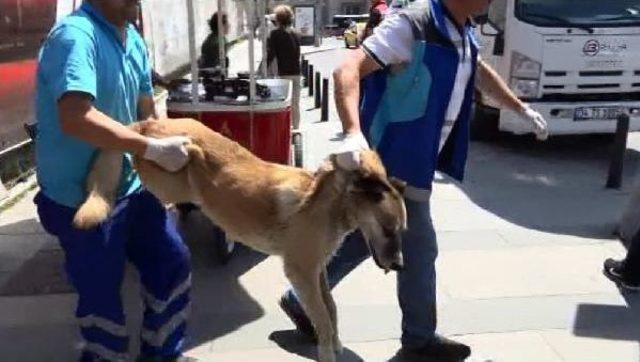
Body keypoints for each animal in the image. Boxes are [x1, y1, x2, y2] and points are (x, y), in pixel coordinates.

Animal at [72, 119, 408, 362]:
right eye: (388, 228)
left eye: (399, 230)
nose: (400, 267)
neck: (332, 202)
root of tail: (149, 123)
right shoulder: (302, 273)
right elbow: (323, 317)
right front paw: (326, 350)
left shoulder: (317, 272)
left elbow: (331, 308)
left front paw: (334, 343)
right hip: (170, 181)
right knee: (145, 155)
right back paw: (180, 156)